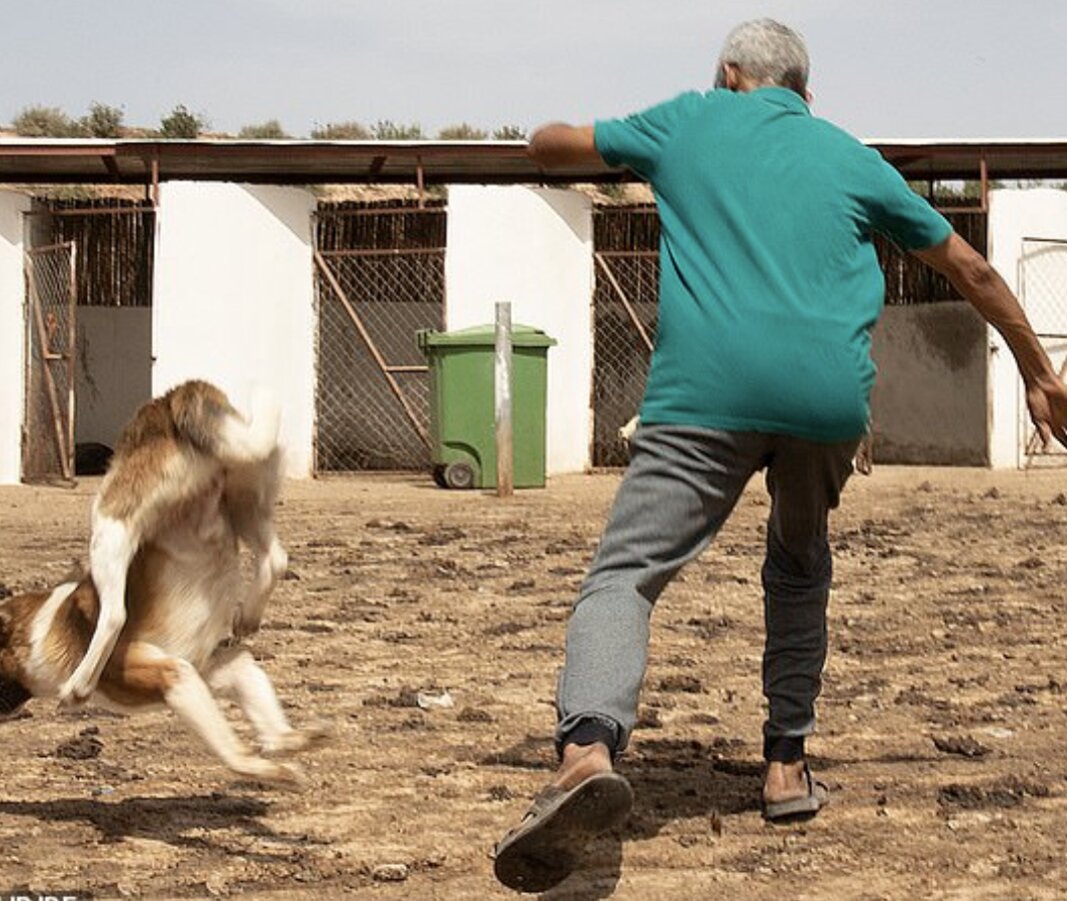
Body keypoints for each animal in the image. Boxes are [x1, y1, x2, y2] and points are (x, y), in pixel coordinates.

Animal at [0, 379, 321, 784]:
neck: (41, 627)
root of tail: (171, 400)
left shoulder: (175, 676)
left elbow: (233, 753)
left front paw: (269, 766)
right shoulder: (214, 670)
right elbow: (260, 704)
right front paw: (287, 742)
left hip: (112, 521)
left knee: (114, 613)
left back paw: (80, 684)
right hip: (245, 497)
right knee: (275, 559)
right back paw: (247, 617)